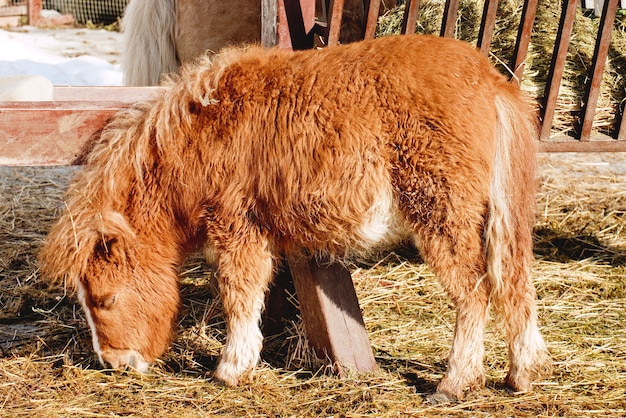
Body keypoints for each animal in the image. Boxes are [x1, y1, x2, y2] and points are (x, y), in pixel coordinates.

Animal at [39, 34, 548, 400]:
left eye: (104, 299)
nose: (115, 364)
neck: (202, 132)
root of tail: (491, 81)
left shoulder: (236, 225)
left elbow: (239, 293)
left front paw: (231, 369)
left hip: (442, 210)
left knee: (474, 290)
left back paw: (454, 383)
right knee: (515, 280)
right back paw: (520, 375)